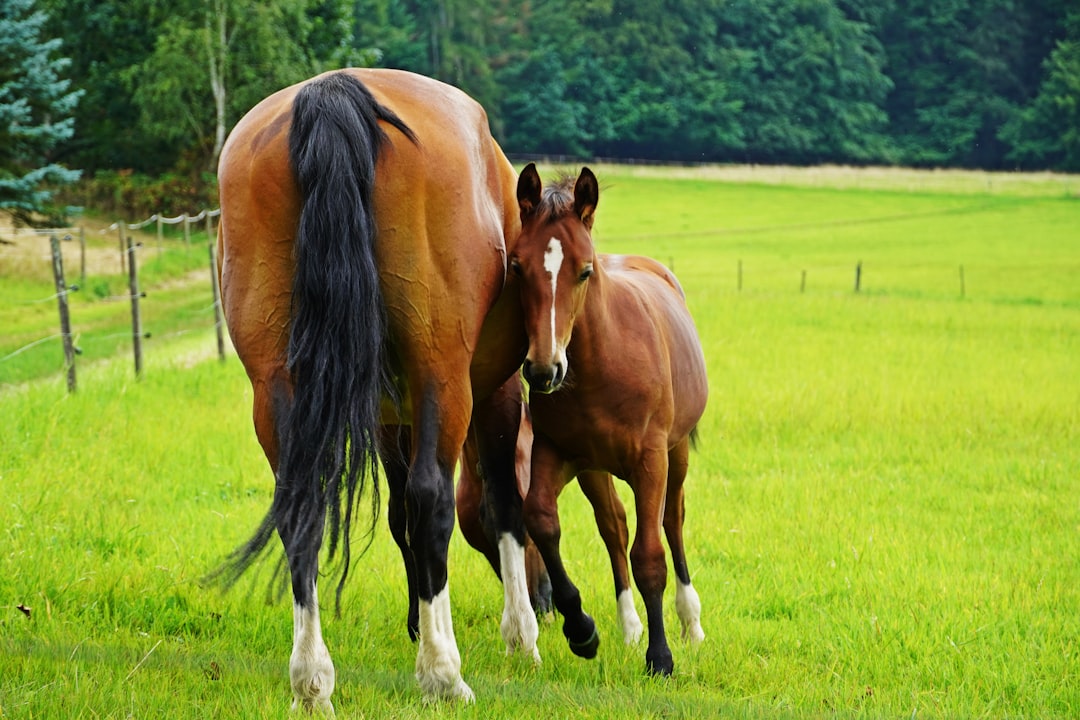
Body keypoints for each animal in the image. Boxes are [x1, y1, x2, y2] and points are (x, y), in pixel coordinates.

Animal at [214, 68, 541, 710]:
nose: (554, 601)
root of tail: (334, 92)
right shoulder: (493, 393)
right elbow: (501, 503)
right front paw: (520, 635)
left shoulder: (392, 417)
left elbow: (396, 517)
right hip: (444, 374)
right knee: (432, 499)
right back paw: (443, 674)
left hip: (274, 384)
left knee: (301, 508)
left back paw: (312, 680)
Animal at [511, 163, 708, 676]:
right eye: (517, 266)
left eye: (584, 270)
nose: (543, 370)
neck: (604, 360)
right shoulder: (556, 452)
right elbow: (541, 520)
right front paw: (581, 629)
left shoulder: (651, 461)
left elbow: (651, 555)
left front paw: (660, 658)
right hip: (593, 470)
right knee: (613, 526)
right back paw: (629, 626)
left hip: (676, 454)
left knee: (672, 522)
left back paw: (690, 623)